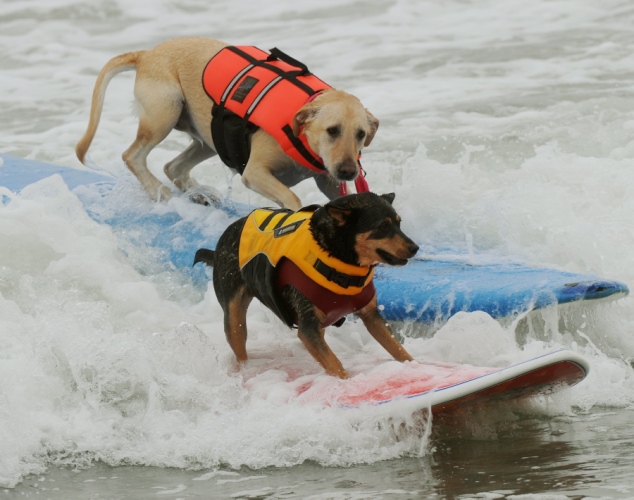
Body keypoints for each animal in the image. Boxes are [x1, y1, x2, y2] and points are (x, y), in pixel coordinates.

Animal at [76, 36, 378, 209]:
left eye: (361, 134)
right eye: (332, 130)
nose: (349, 172)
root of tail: (147, 53)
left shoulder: (328, 180)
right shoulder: (254, 172)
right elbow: (291, 198)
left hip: (208, 137)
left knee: (173, 166)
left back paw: (199, 195)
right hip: (165, 110)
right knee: (133, 156)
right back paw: (161, 193)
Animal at [194, 192, 420, 378]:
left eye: (399, 223)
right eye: (382, 226)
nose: (415, 248)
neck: (337, 259)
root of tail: (225, 235)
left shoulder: (371, 316)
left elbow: (397, 348)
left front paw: (416, 367)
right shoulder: (308, 328)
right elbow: (335, 364)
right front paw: (346, 383)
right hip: (234, 317)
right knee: (237, 337)